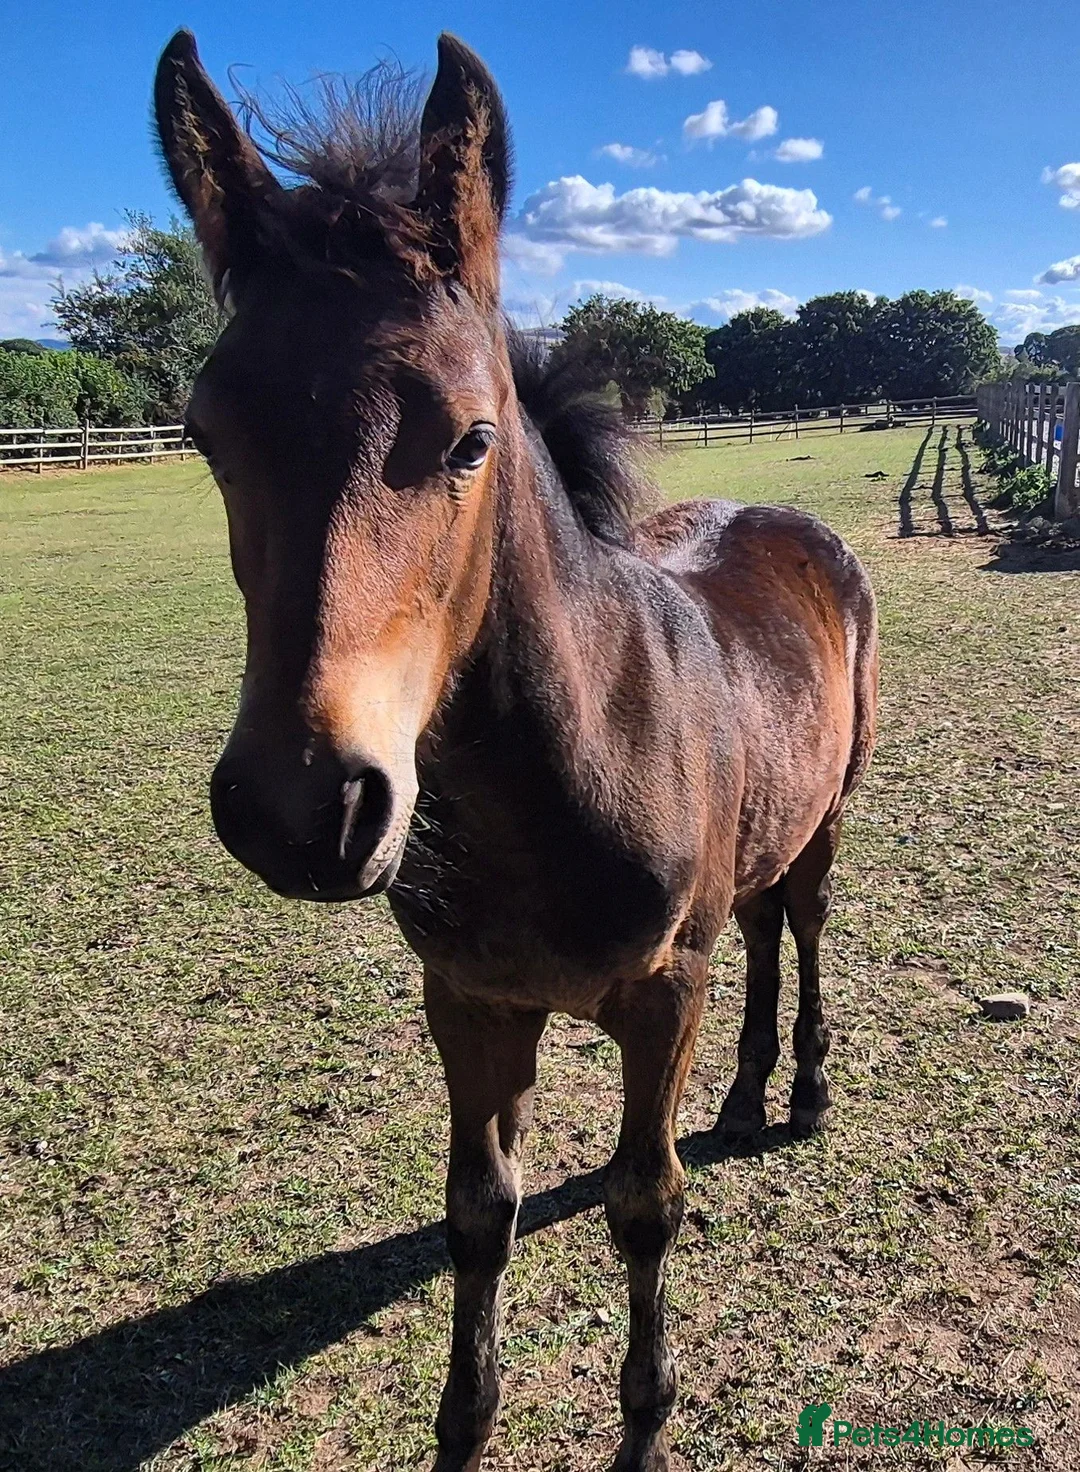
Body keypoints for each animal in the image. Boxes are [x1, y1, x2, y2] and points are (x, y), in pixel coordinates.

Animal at [153, 30, 878, 1471]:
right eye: (206, 433)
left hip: (829, 812)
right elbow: (479, 1210)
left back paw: (807, 1090)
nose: (303, 806)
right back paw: (746, 1094)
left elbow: (643, 1203)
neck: (555, 789)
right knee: (764, 928)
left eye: (473, 437)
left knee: (807, 924)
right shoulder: (471, 1000)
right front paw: (462, 1426)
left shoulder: (659, 994)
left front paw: (645, 1429)